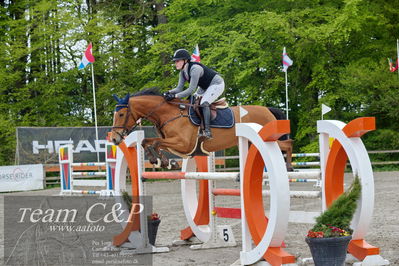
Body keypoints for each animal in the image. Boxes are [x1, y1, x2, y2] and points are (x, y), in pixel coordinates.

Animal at [109, 87, 294, 170]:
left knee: (288, 144)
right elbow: (148, 142)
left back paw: (289, 167)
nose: (114, 138)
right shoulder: (174, 143)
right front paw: (162, 161)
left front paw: (164, 161)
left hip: (268, 138)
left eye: (121, 114)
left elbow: (154, 142)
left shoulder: (183, 143)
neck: (169, 113)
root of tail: (268, 109)